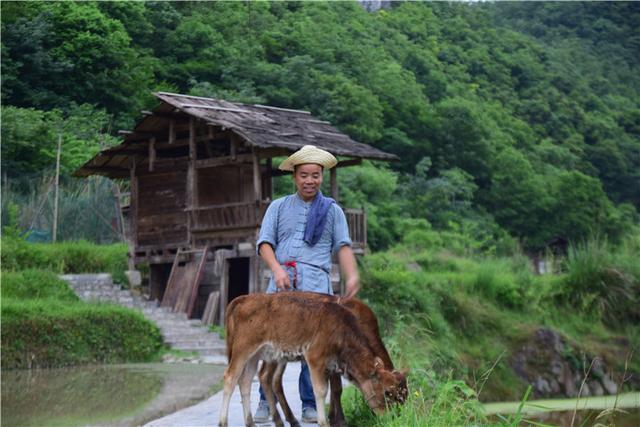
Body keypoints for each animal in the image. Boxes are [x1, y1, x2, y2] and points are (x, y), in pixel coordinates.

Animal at [218, 292, 402, 427]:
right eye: (387, 392)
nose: (394, 416)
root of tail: (243, 299)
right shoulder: (315, 358)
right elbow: (322, 391)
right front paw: (326, 422)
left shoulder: (331, 365)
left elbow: (333, 390)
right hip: (243, 351)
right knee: (231, 378)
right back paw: (223, 422)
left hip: (256, 356)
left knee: (247, 381)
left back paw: (251, 423)